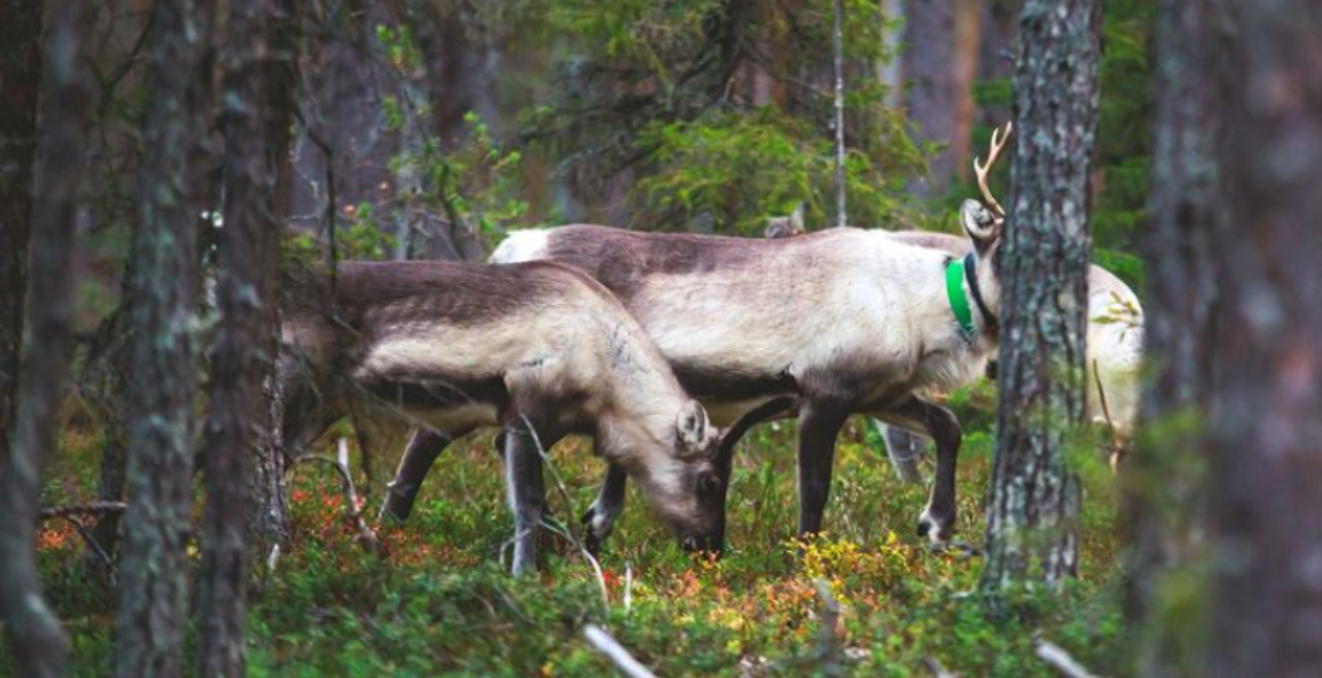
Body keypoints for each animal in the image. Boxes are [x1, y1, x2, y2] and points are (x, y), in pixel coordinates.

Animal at [278, 259, 778, 574]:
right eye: (709, 481)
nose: (712, 549)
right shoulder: (525, 412)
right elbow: (529, 503)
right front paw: (525, 574)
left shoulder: (501, 423)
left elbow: (405, 486)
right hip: (297, 389)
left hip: (322, 406)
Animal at [388, 125, 1019, 554]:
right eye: (1006, 251)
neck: (919, 305)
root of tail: (512, 246)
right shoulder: (824, 392)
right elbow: (815, 488)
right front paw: (806, 561)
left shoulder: (880, 393)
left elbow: (948, 426)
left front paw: (935, 524)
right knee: (432, 436)